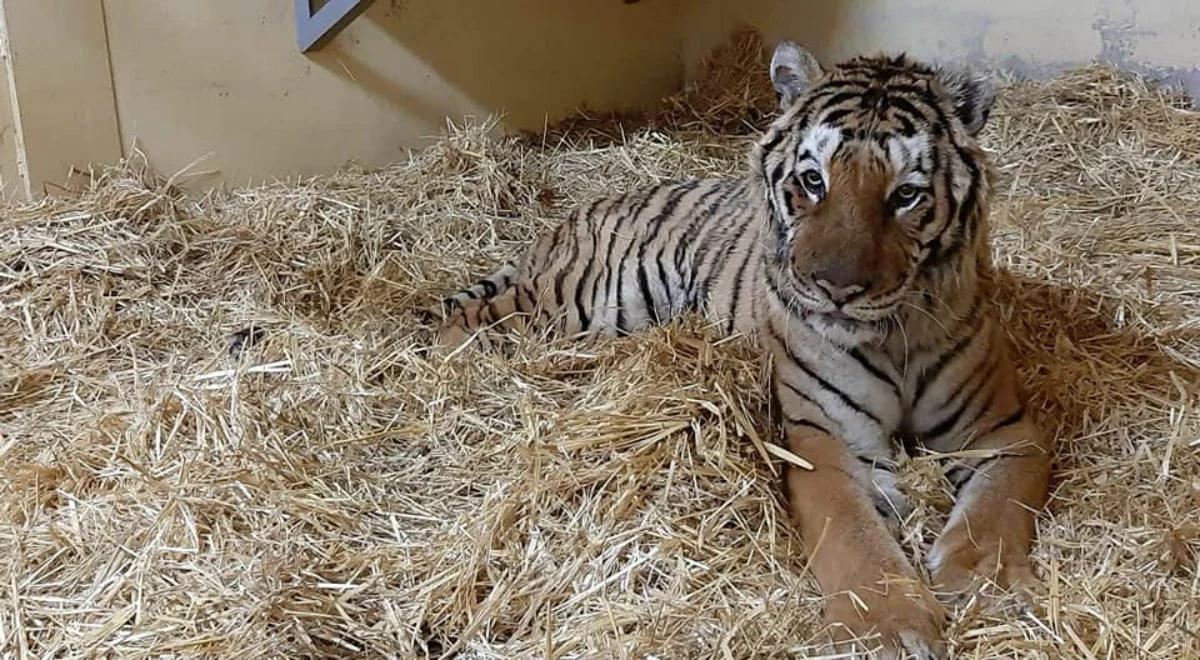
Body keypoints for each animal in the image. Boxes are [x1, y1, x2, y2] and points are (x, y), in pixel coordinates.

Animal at [429, 42, 1051, 660]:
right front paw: (888, 627)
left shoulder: (1002, 430)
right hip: (590, 299)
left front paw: (984, 585)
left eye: (905, 195)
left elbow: (996, 514)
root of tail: (573, 215)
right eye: (813, 180)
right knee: (480, 311)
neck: (894, 335)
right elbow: (852, 532)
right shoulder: (823, 438)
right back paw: (454, 357)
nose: (836, 288)